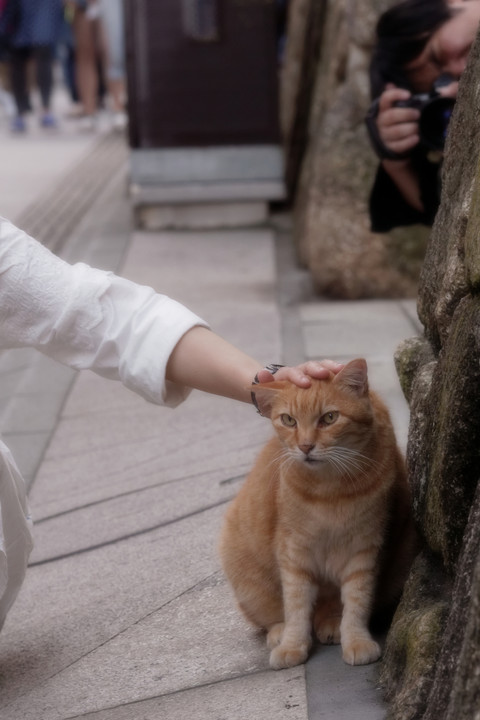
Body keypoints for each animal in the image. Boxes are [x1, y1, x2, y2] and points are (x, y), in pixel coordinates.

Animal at [218, 358, 416, 668]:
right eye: (289, 420)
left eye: (329, 418)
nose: (305, 446)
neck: (329, 491)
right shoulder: (293, 553)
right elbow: (297, 607)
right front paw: (292, 645)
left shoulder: (364, 550)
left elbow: (357, 601)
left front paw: (355, 639)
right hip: (247, 579)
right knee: (274, 616)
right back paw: (279, 632)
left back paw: (332, 623)